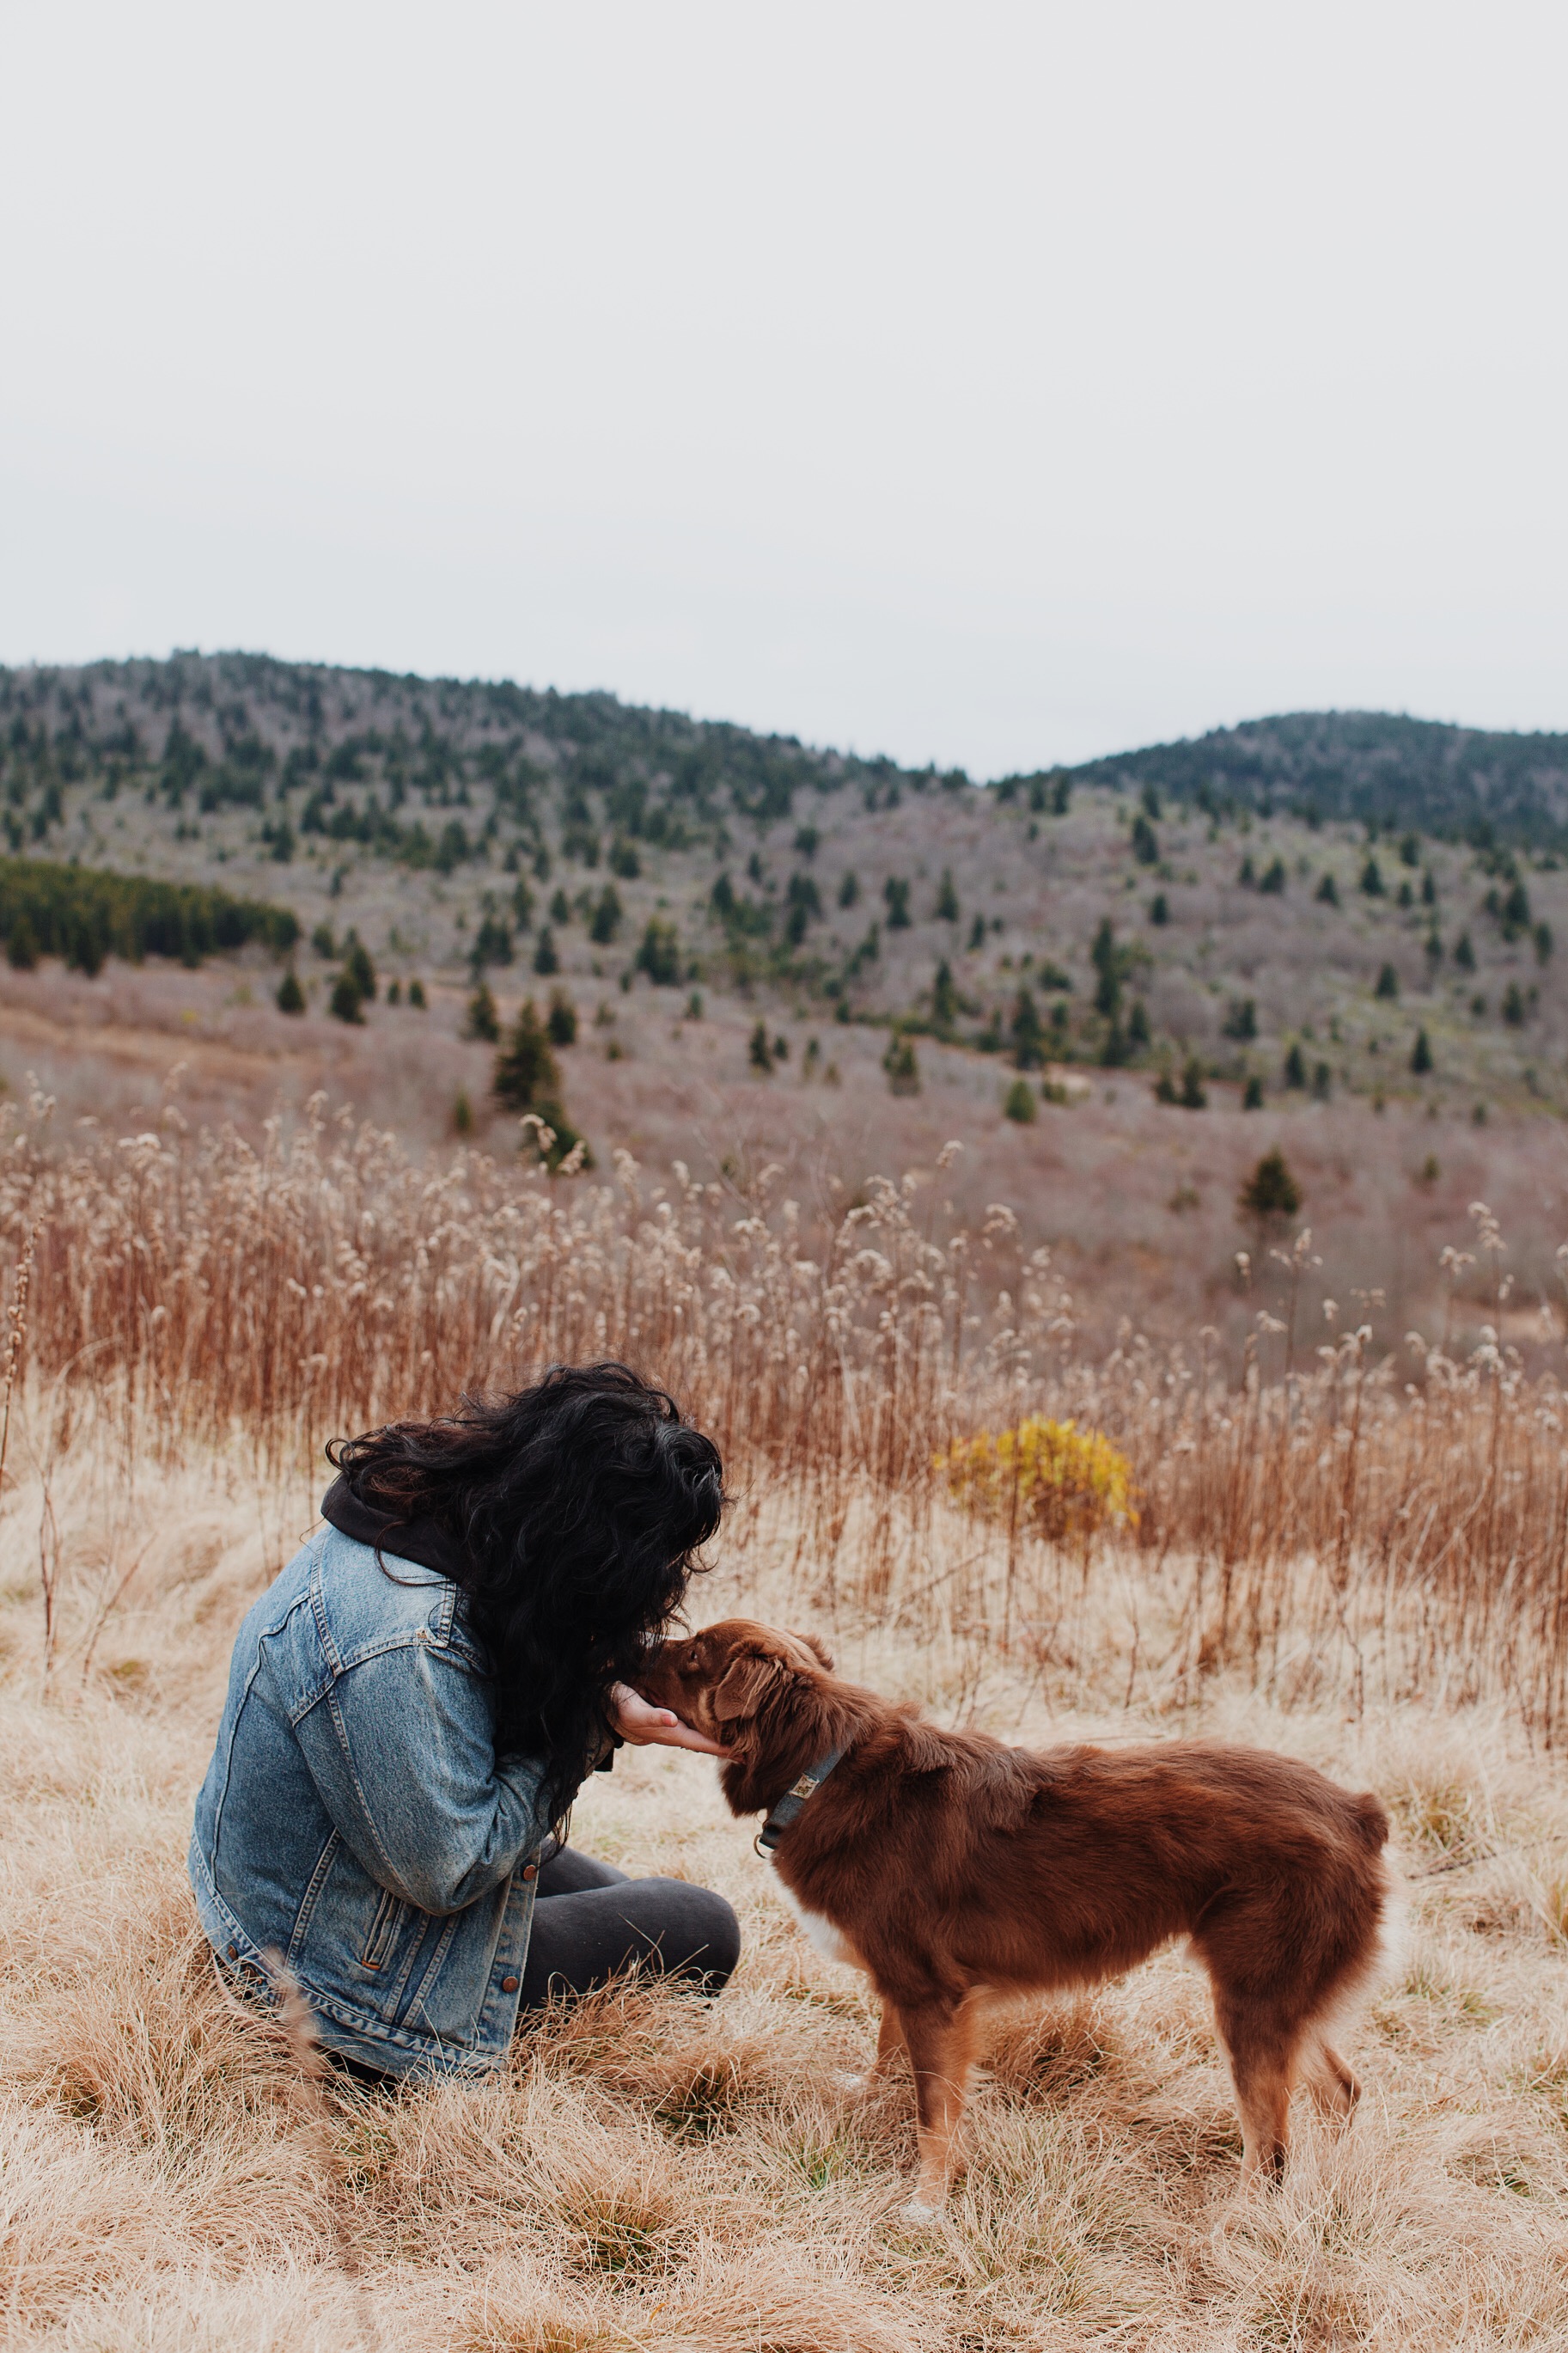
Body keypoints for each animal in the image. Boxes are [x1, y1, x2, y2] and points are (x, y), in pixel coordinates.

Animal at [644, 1618, 1391, 2202]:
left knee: (1270, 2150)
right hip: (1278, 2004)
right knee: (1341, 2092)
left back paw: (1240, 2223)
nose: (638, 1641)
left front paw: (927, 2203)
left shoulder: (934, 1995)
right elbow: (889, 2050)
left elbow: (935, 2112)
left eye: (692, 1655)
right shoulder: (904, 1980)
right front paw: (870, 2097)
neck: (821, 1768)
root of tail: (1356, 1812)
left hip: (1249, 2002)